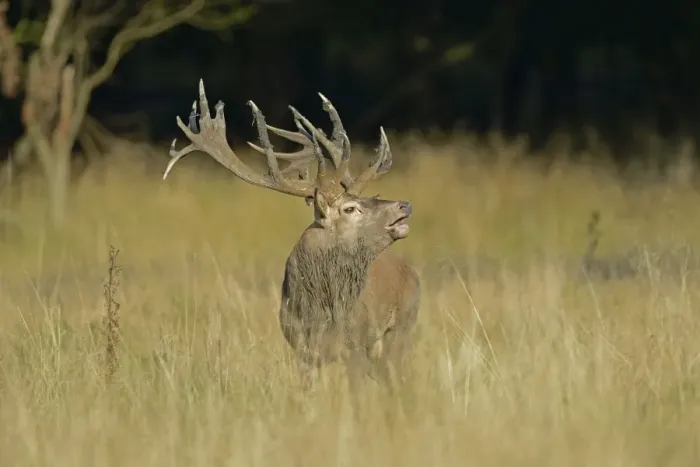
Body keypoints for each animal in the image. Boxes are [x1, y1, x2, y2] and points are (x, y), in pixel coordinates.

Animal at [163, 80, 420, 403]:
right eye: (350, 208)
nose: (403, 205)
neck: (320, 311)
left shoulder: (356, 343)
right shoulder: (302, 348)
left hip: (403, 326)